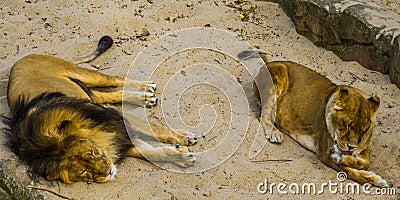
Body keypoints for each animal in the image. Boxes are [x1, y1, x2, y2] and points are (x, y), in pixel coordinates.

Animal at [3, 35, 197, 183]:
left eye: (93, 153)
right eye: (84, 172)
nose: (109, 172)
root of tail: (20, 61)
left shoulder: (116, 120)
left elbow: (156, 130)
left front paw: (184, 138)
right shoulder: (116, 139)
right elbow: (150, 152)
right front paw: (180, 156)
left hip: (85, 75)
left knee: (115, 79)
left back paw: (145, 88)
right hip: (87, 94)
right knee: (107, 95)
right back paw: (144, 97)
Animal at [253, 52, 388, 187]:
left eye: (364, 131)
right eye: (346, 125)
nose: (351, 147)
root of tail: (270, 63)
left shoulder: (363, 149)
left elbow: (366, 162)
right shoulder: (325, 153)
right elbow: (347, 171)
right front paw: (376, 179)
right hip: (279, 71)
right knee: (263, 114)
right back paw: (274, 133)